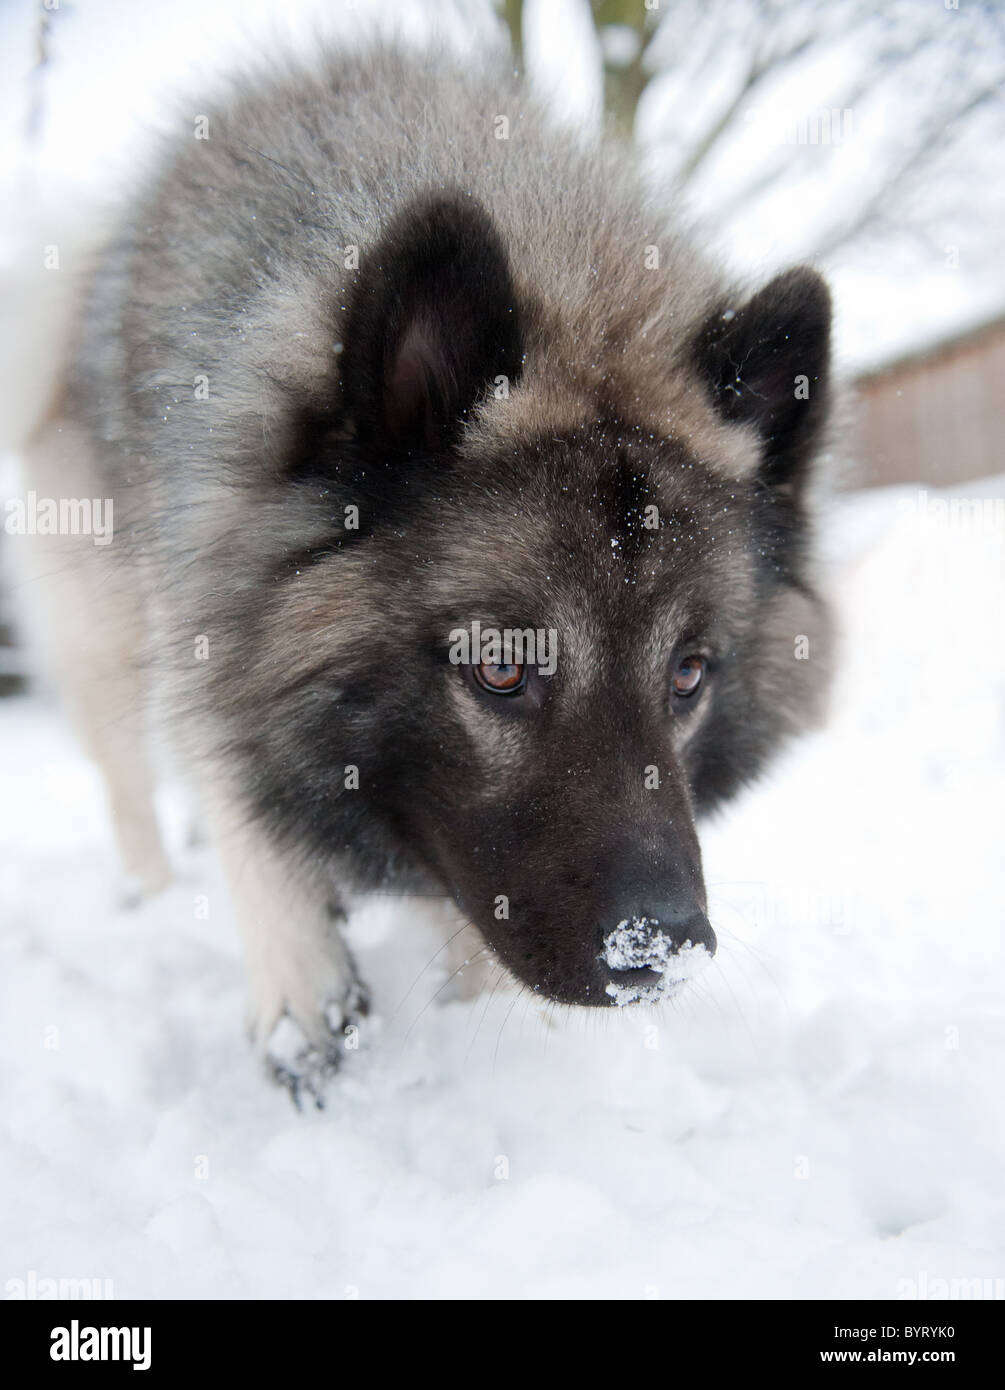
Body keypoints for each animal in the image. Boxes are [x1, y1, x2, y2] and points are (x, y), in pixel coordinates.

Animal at [15, 40, 834, 1095]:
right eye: (500, 669)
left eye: (688, 673)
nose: (663, 952)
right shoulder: (204, 584)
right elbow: (240, 785)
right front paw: (301, 996)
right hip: (101, 631)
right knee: (133, 773)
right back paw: (153, 890)